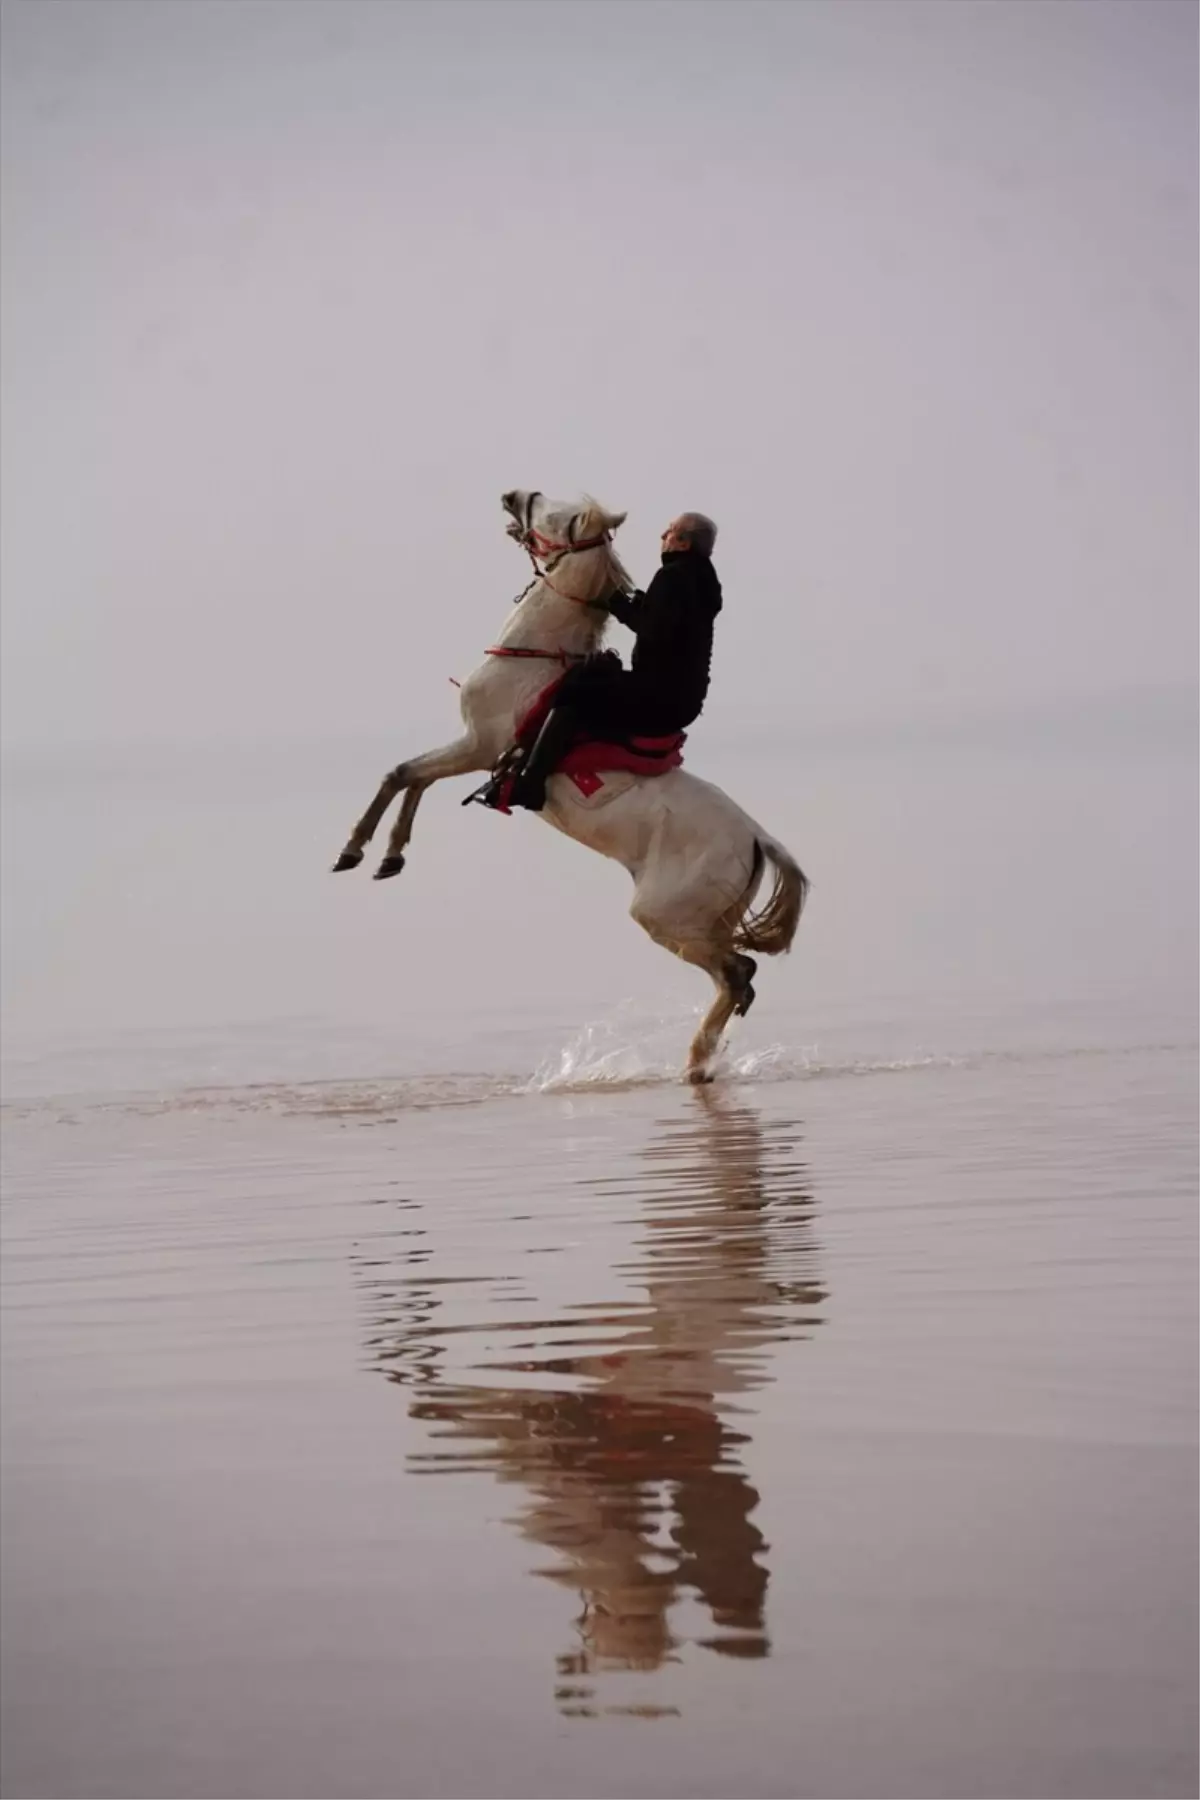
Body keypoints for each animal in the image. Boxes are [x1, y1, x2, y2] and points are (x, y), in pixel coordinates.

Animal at [332, 489, 813, 1080]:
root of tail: (755, 837)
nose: (512, 494)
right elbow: (412, 780)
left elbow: (402, 773)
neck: (531, 658)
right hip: (704, 919)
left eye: (554, 513)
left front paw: (355, 850)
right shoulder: (473, 749)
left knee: (736, 974)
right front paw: (389, 857)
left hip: (665, 916)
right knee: (740, 978)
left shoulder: (477, 746)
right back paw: (701, 1060)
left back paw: (695, 1062)